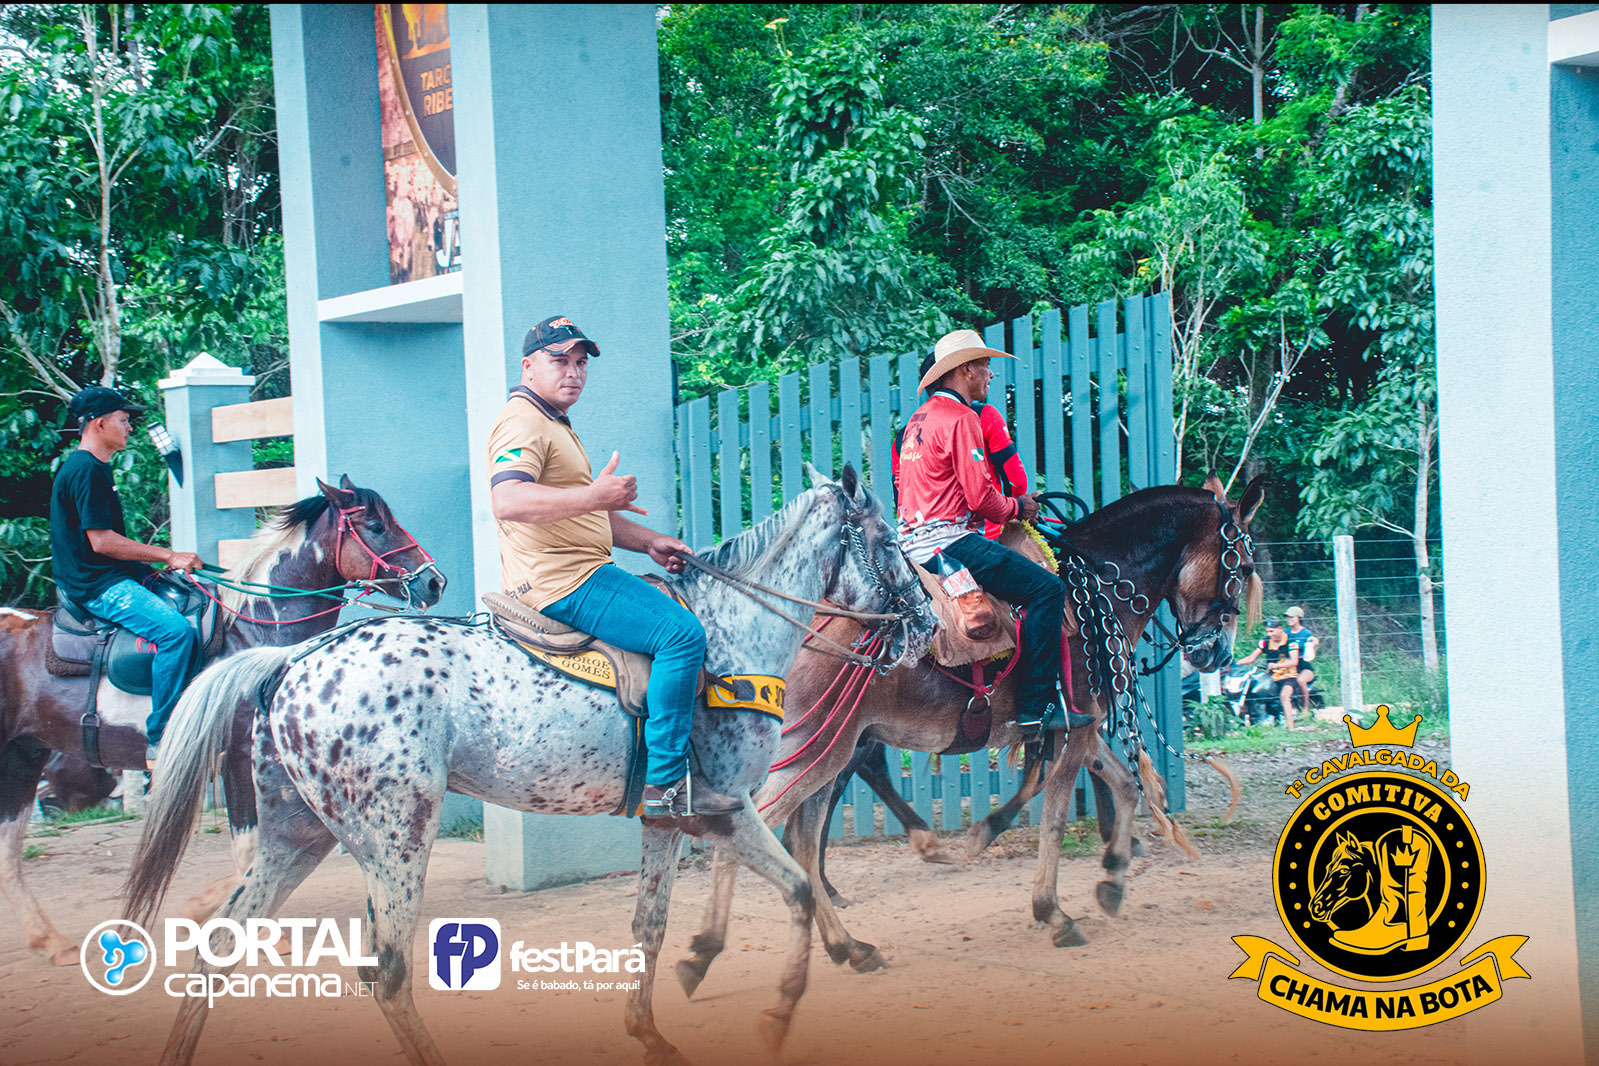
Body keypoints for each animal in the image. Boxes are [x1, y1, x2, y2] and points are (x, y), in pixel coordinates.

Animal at [0, 476, 444, 964]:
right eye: (376, 525)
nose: (433, 581)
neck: (255, 634)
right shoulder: (238, 756)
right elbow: (251, 845)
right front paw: (259, 930)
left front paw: (201, 905)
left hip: (25, 755)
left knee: (8, 849)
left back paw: (50, 940)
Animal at [123, 466, 936, 1066]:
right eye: (889, 539)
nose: (927, 623)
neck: (731, 635)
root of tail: (292, 660)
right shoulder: (728, 808)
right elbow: (797, 888)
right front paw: (778, 1010)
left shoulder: (670, 818)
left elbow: (650, 924)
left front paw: (651, 1029)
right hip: (395, 837)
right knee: (387, 971)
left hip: (298, 835)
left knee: (221, 945)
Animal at [676, 474, 1263, 992]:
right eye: (1244, 563)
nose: (1216, 653)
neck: (1093, 588)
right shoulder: (1076, 724)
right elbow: (1055, 817)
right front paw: (1052, 910)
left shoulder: (1077, 725)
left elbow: (1123, 786)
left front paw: (1113, 878)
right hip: (820, 746)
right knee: (753, 832)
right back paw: (706, 951)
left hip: (830, 747)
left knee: (799, 838)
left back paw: (850, 946)